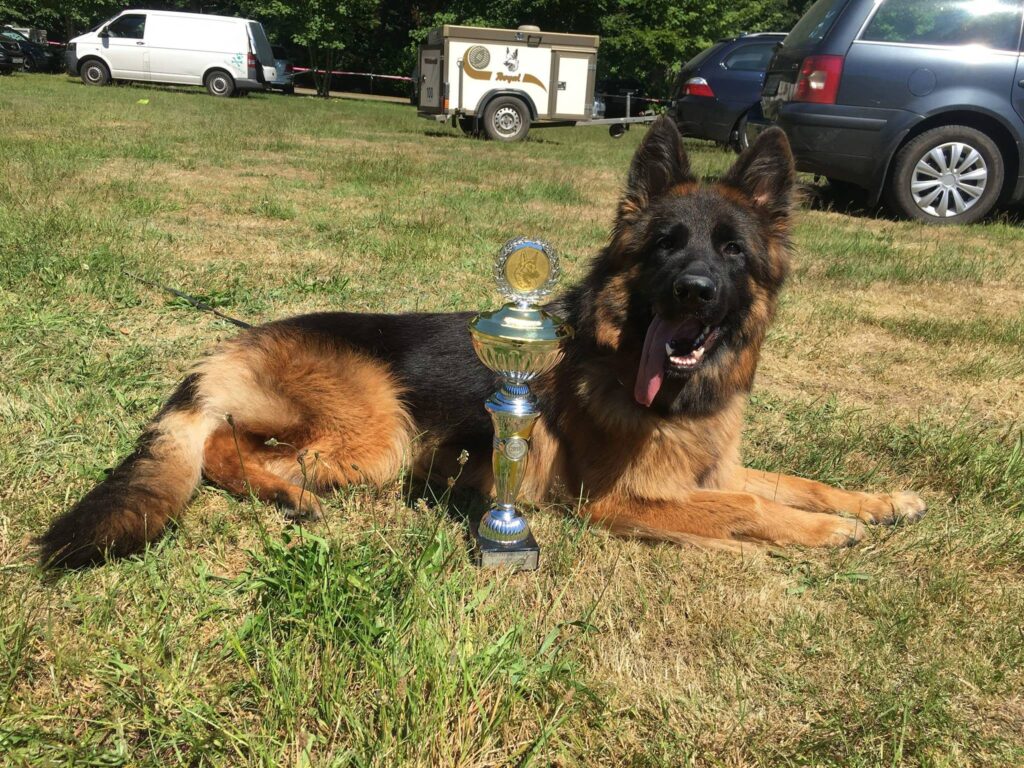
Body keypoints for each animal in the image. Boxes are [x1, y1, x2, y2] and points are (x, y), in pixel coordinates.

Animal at [37, 118, 926, 568]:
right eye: (667, 246)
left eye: (731, 251)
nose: (695, 291)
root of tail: (237, 343)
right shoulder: (619, 501)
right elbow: (746, 506)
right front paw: (823, 534)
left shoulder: (713, 467)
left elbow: (793, 481)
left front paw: (879, 502)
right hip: (380, 437)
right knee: (224, 447)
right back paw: (288, 495)